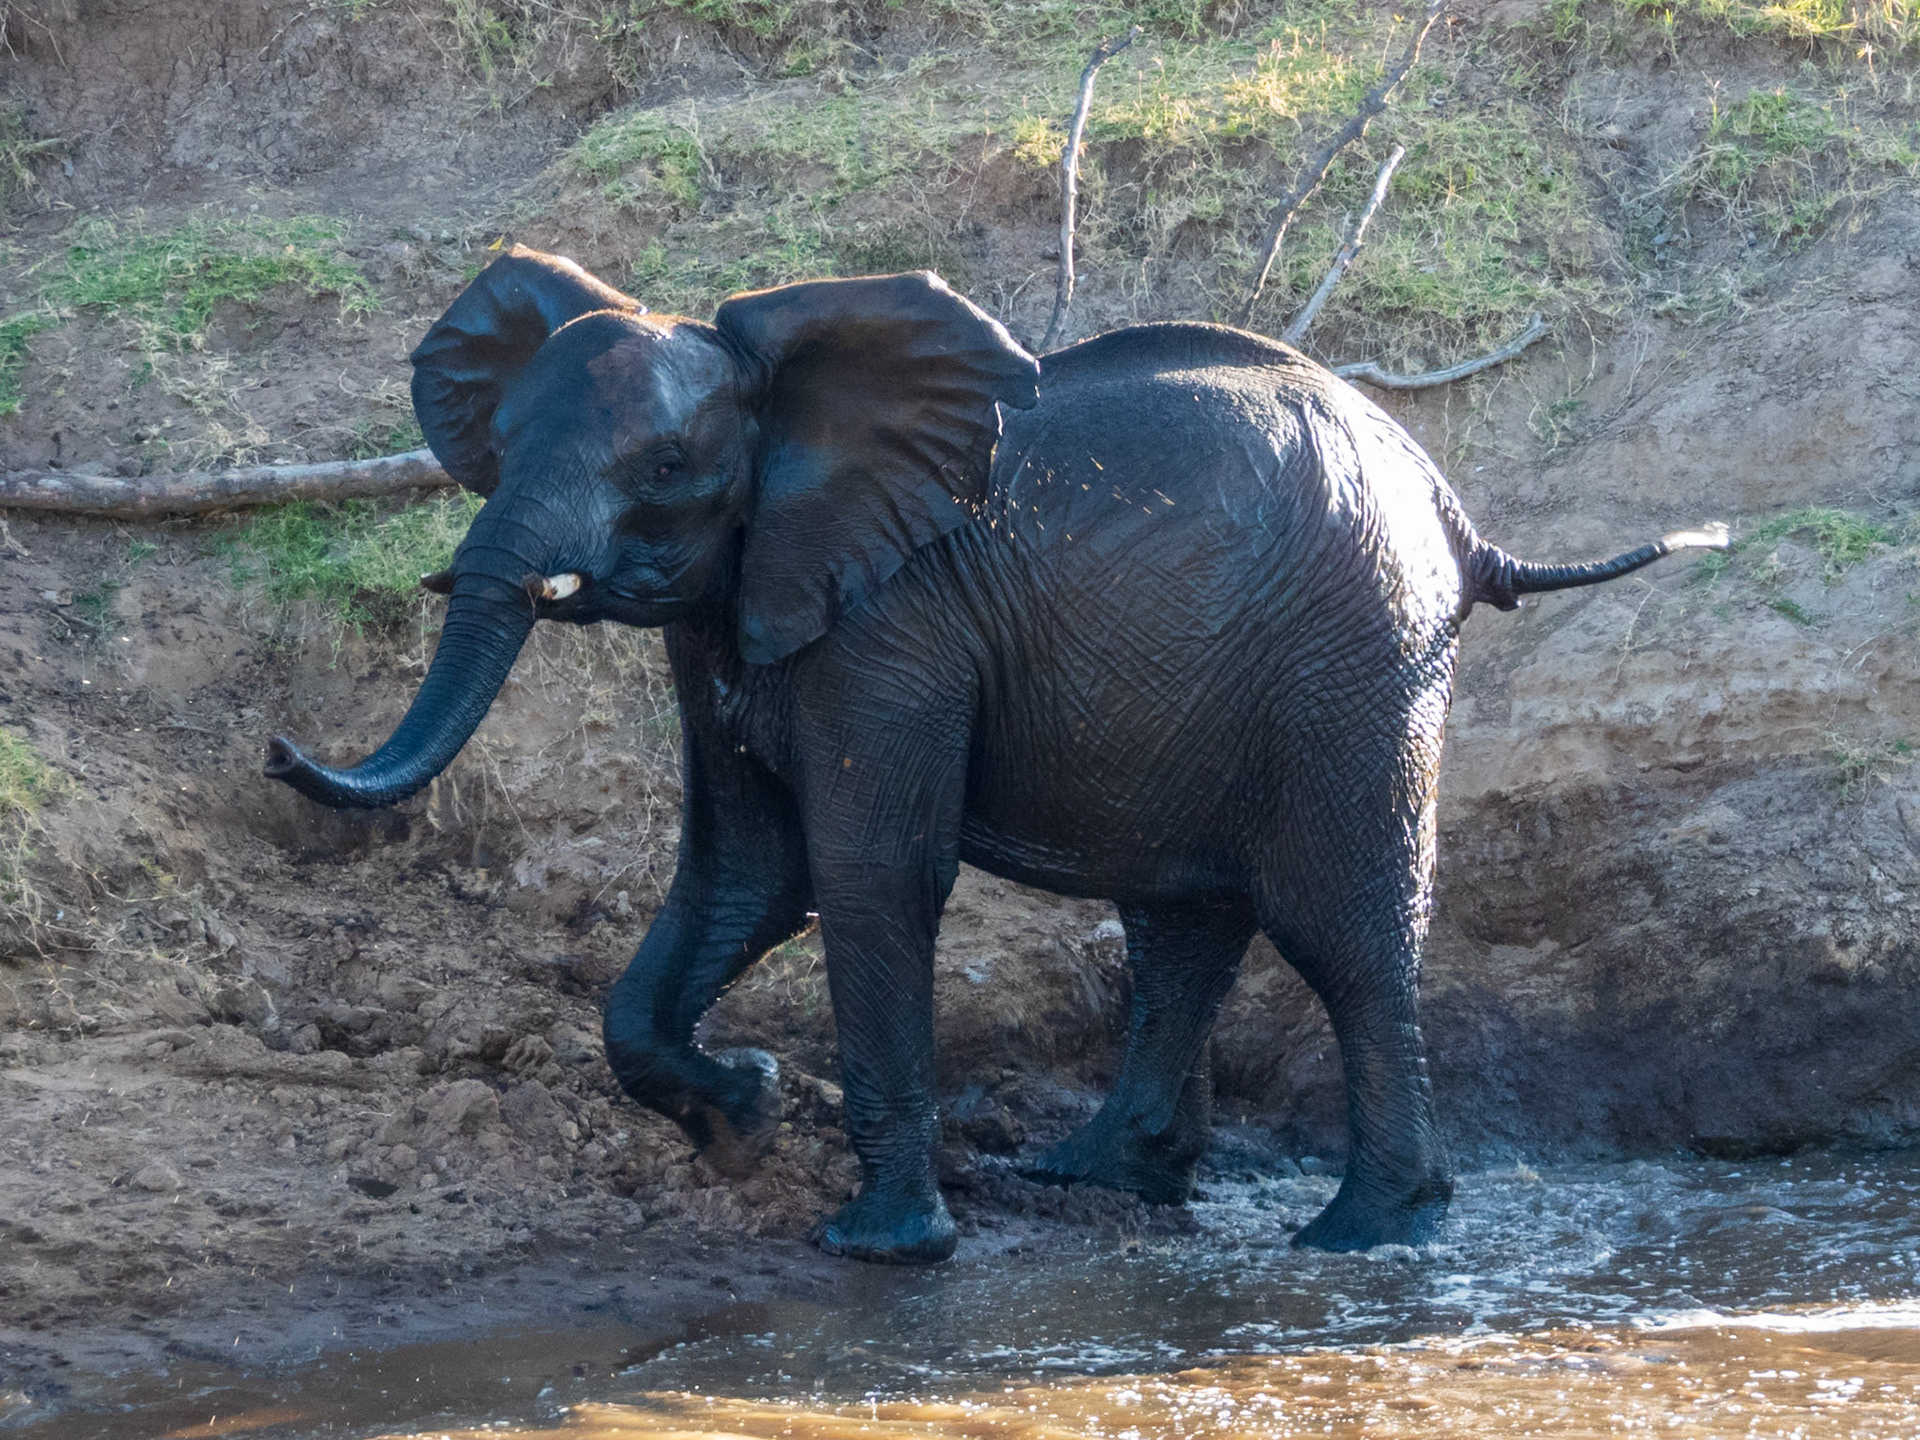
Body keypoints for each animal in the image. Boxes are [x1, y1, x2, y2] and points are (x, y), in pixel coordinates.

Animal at [265, 247, 1726, 1262]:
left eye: (670, 465)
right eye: (500, 443)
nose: (277, 751)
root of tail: (1455, 511)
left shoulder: (897, 626)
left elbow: (867, 877)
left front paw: (876, 1246)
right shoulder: (733, 614)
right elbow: (744, 875)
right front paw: (742, 1114)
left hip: (1355, 657)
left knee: (1343, 931)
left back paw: (1370, 1236)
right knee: (1181, 922)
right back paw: (1098, 1176)